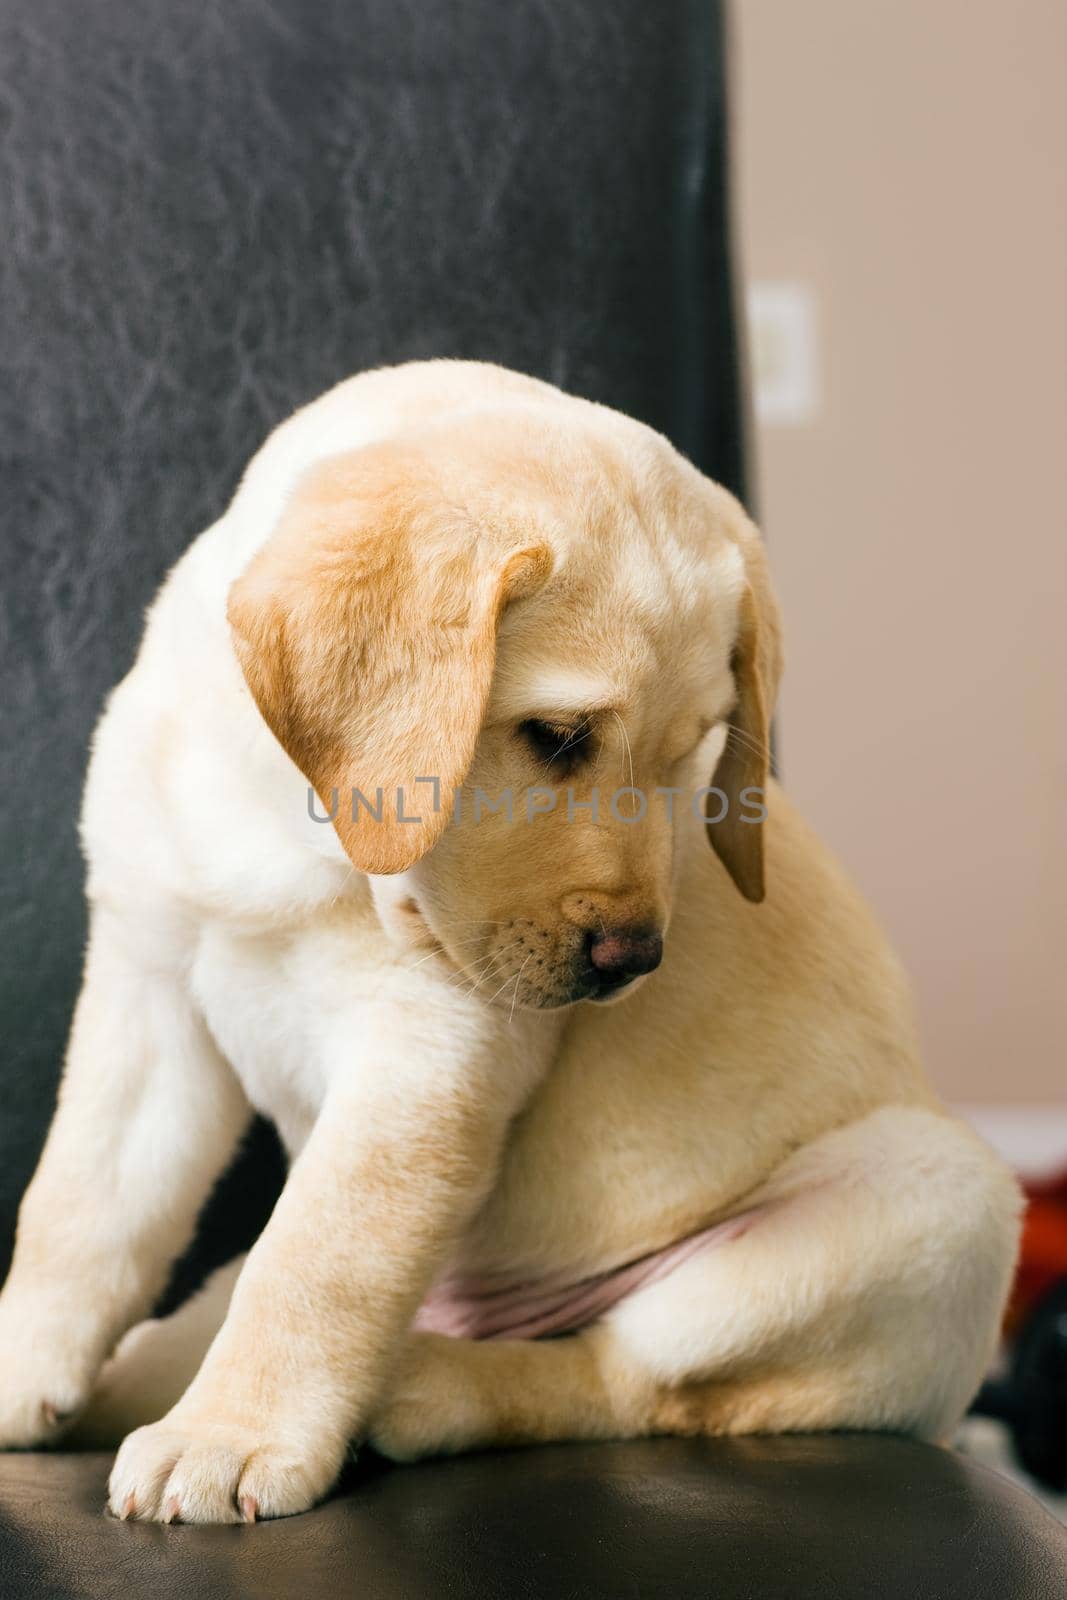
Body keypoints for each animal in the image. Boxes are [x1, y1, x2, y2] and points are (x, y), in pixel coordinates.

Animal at [0, 363, 1017, 1523]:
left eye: (693, 755)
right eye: (557, 738)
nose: (633, 961)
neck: (285, 814)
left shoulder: (432, 1047)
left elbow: (316, 1254)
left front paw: (230, 1433)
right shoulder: (149, 990)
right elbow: (77, 1209)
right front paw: (22, 1367)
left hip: (934, 1199)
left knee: (630, 1378)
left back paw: (424, 1387)